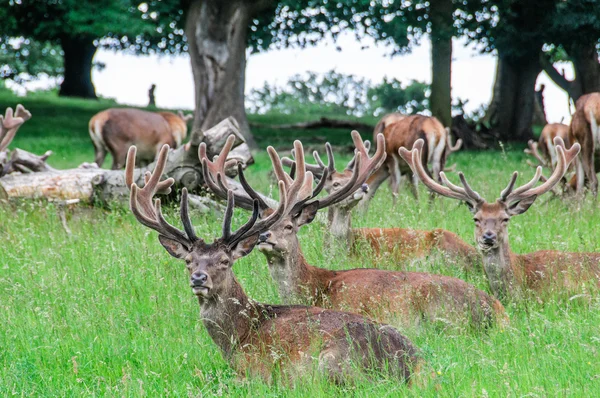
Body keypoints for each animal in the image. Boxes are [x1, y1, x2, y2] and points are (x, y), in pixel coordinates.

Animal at [124, 142, 420, 382]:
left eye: (224, 261)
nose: (199, 278)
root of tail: (410, 362)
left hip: (331, 362)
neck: (239, 335)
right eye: (189, 260)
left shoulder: (256, 370)